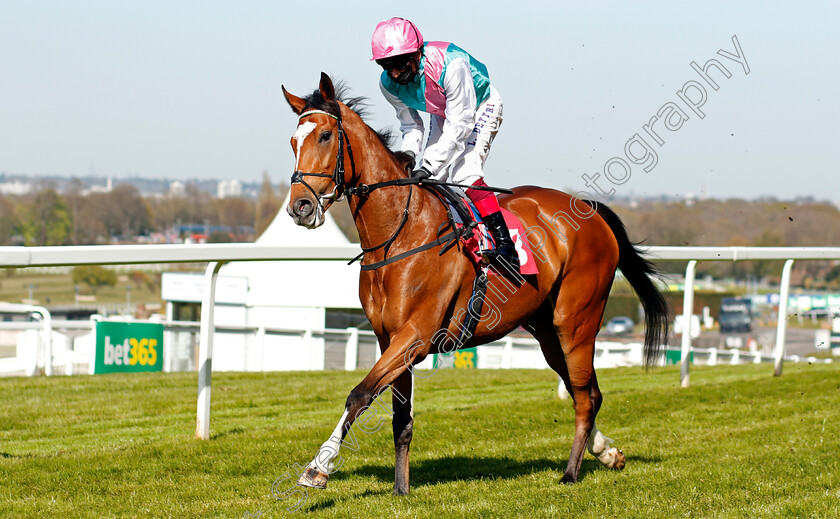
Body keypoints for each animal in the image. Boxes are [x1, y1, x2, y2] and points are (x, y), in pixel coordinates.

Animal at [282, 73, 668, 496]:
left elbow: (360, 394)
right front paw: (401, 488)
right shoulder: (389, 339)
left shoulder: (414, 337)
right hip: (546, 330)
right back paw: (607, 452)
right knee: (585, 391)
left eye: (325, 136)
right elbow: (400, 417)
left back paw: (570, 472)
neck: (399, 235)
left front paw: (317, 468)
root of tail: (591, 211)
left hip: (576, 323)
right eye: (293, 142)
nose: (300, 207)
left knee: (584, 397)